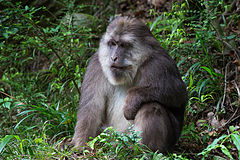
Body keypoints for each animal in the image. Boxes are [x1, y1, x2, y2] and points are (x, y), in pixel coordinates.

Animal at [71, 16, 188, 152]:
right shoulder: (96, 66)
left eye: (124, 45)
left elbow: (178, 94)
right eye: (112, 43)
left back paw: (144, 151)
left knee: (151, 106)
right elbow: (91, 108)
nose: (113, 58)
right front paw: (80, 147)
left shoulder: (159, 64)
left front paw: (132, 99)